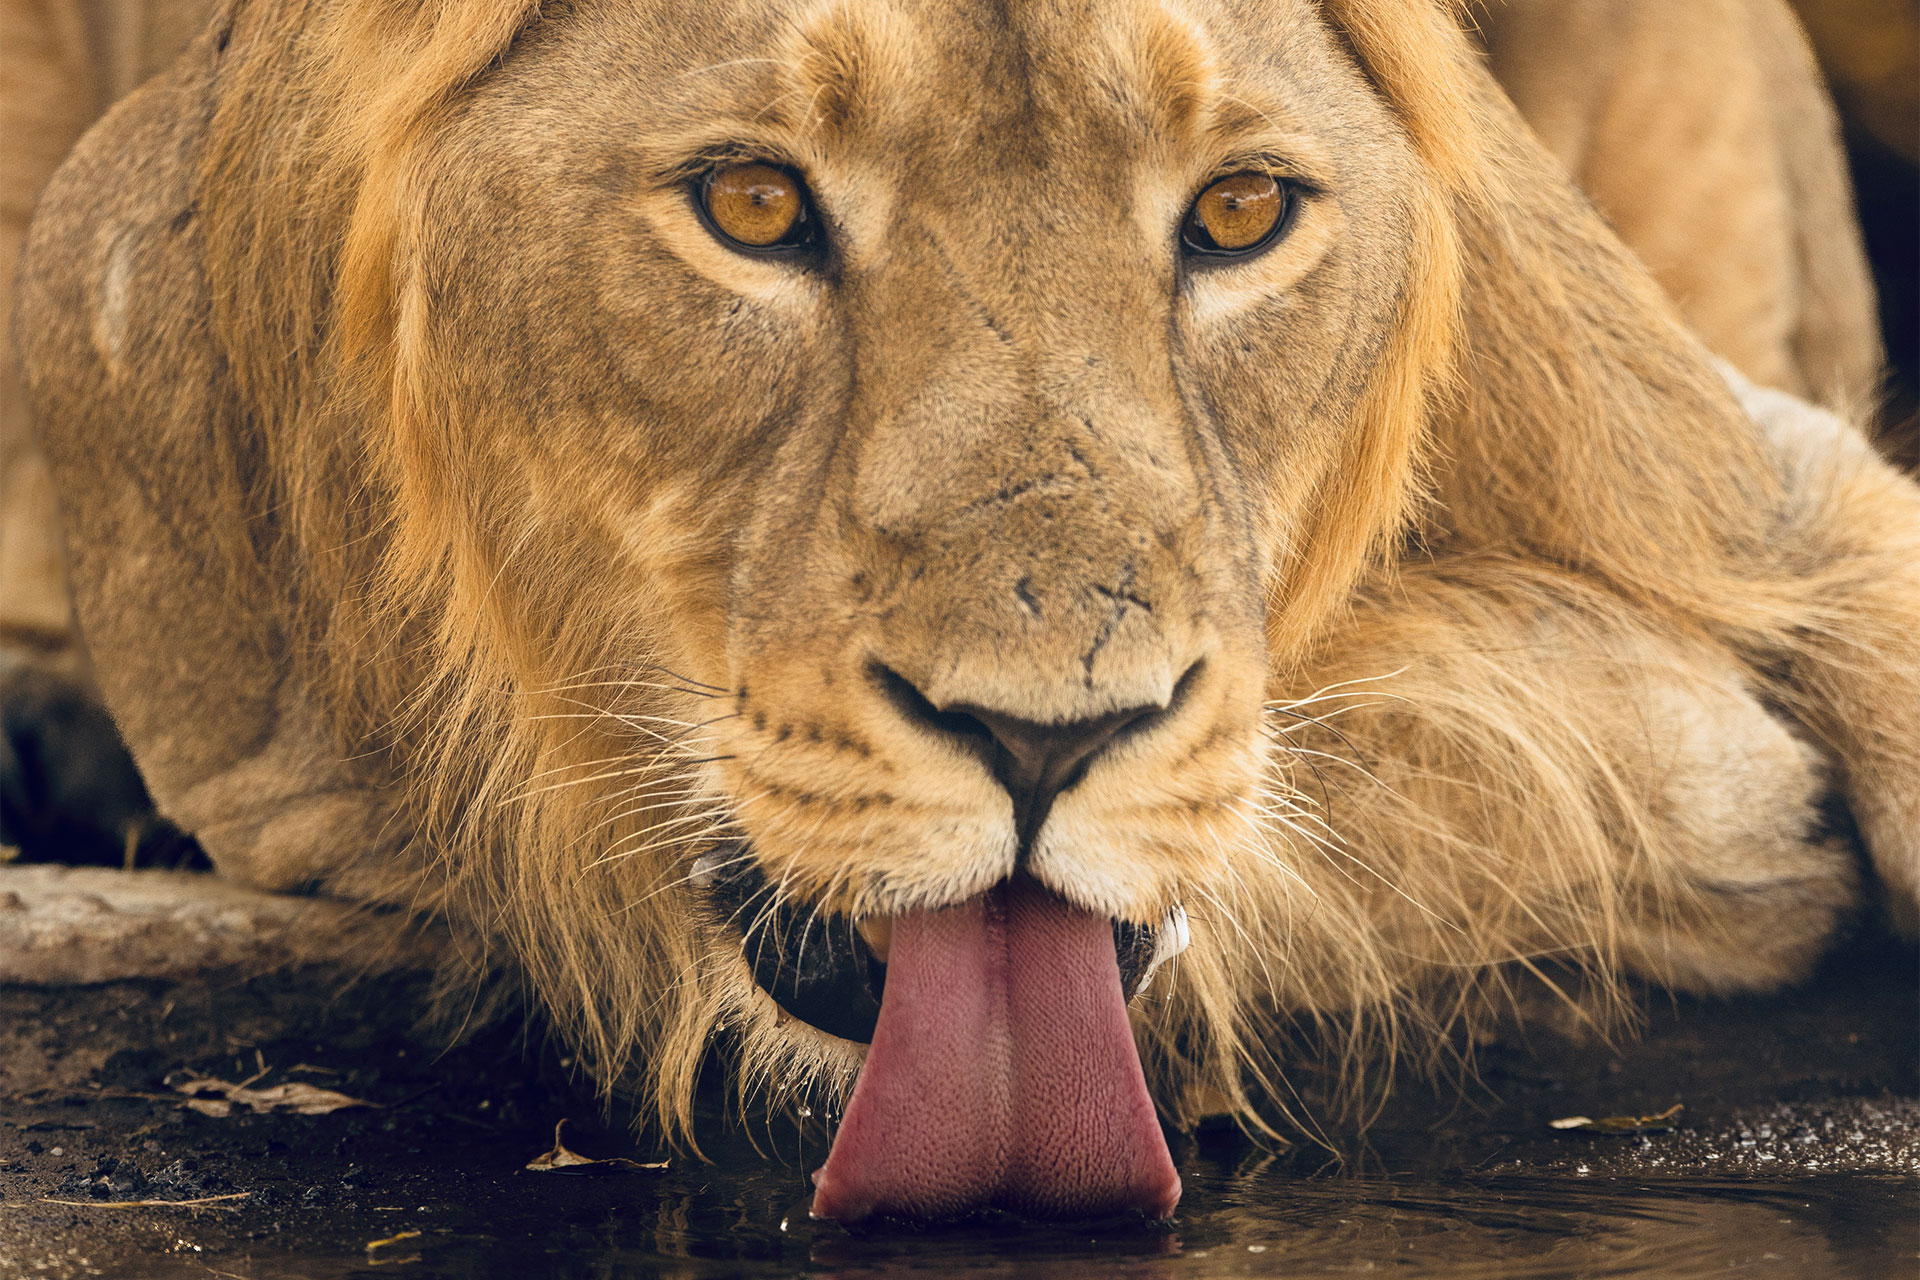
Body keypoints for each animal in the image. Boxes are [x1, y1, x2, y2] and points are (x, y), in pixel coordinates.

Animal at [6, 0, 1917, 1223]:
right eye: (752, 203)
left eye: (1241, 212)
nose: (1042, 738)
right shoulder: (282, 768)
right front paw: (1721, 787)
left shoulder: (1732, 477)